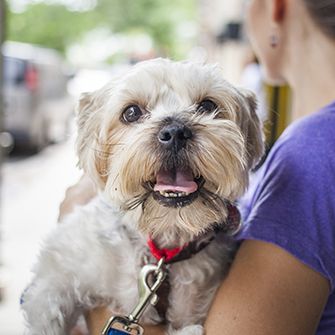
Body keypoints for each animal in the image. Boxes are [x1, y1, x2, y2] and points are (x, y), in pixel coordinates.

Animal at [21, 59, 266, 335]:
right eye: (131, 112)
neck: (163, 254)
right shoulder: (57, 273)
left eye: (208, 106)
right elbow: (48, 308)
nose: (175, 131)